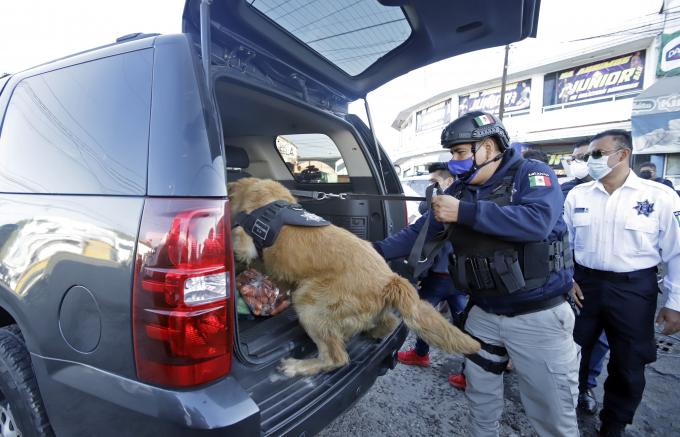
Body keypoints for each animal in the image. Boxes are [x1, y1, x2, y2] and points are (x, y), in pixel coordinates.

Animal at [231, 176, 480, 374]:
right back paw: (374, 332)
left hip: (308, 301)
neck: (267, 199)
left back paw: (298, 366)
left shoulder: (244, 242)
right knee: (389, 321)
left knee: (336, 358)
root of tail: (391, 279)